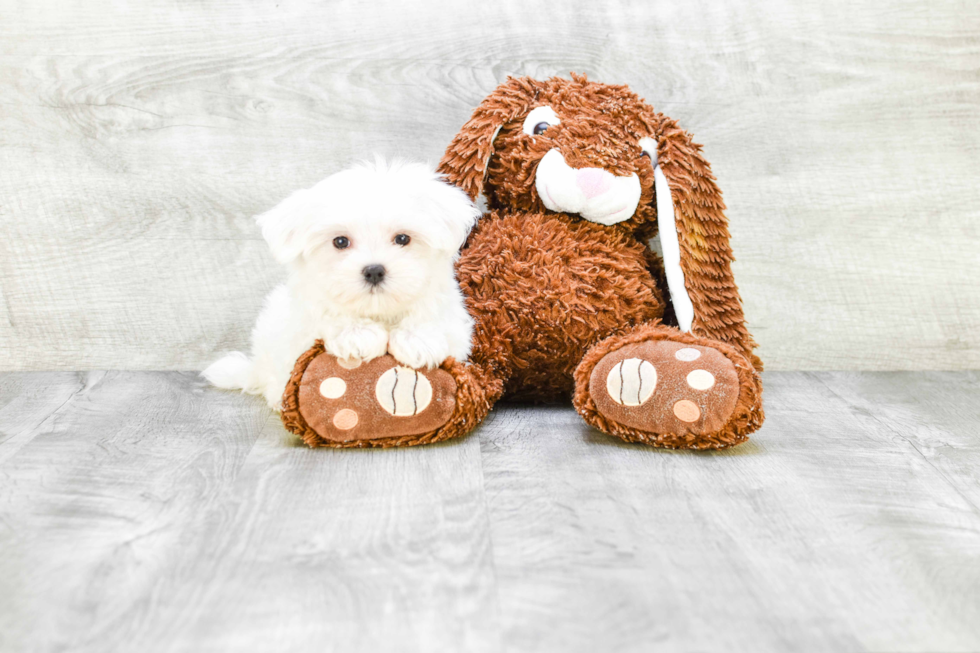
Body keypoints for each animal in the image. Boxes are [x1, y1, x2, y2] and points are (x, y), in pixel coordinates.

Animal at [205, 158, 480, 408]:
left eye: (403, 238)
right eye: (340, 242)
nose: (374, 271)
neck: (378, 313)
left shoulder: (456, 324)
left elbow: (433, 316)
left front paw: (418, 339)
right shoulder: (302, 322)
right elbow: (328, 315)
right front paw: (358, 335)